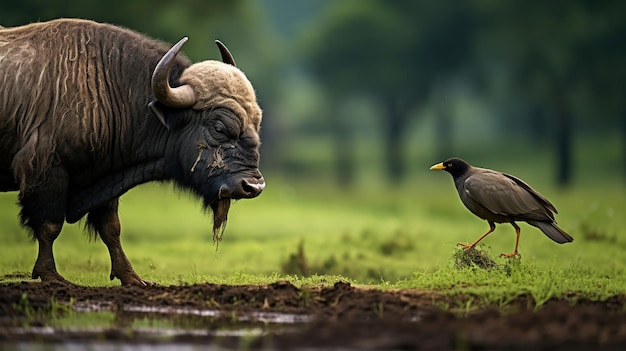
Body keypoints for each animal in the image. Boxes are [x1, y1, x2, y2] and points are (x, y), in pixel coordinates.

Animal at [0, 18, 264, 286]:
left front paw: (132, 278)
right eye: (219, 127)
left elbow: (111, 229)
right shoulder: (47, 173)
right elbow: (49, 226)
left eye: (256, 124)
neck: (102, 83)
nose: (253, 186)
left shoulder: (106, 179)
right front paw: (50, 275)